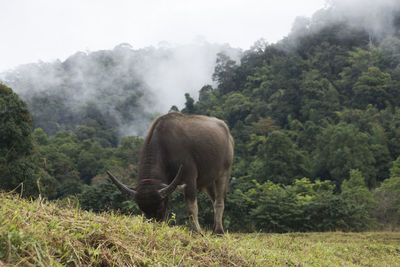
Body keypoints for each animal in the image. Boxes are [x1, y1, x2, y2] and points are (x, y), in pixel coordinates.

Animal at [108, 112, 236, 236]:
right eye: (142, 209)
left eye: (159, 207)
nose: (155, 225)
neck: (165, 147)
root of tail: (228, 133)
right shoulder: (168, 185)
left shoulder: (189, 178)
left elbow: (192, 207)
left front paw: (197, 232)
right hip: (208, 182)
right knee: (214, 199)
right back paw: (215, 229)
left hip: (224, 172)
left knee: (219, 201)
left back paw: (219, 232)